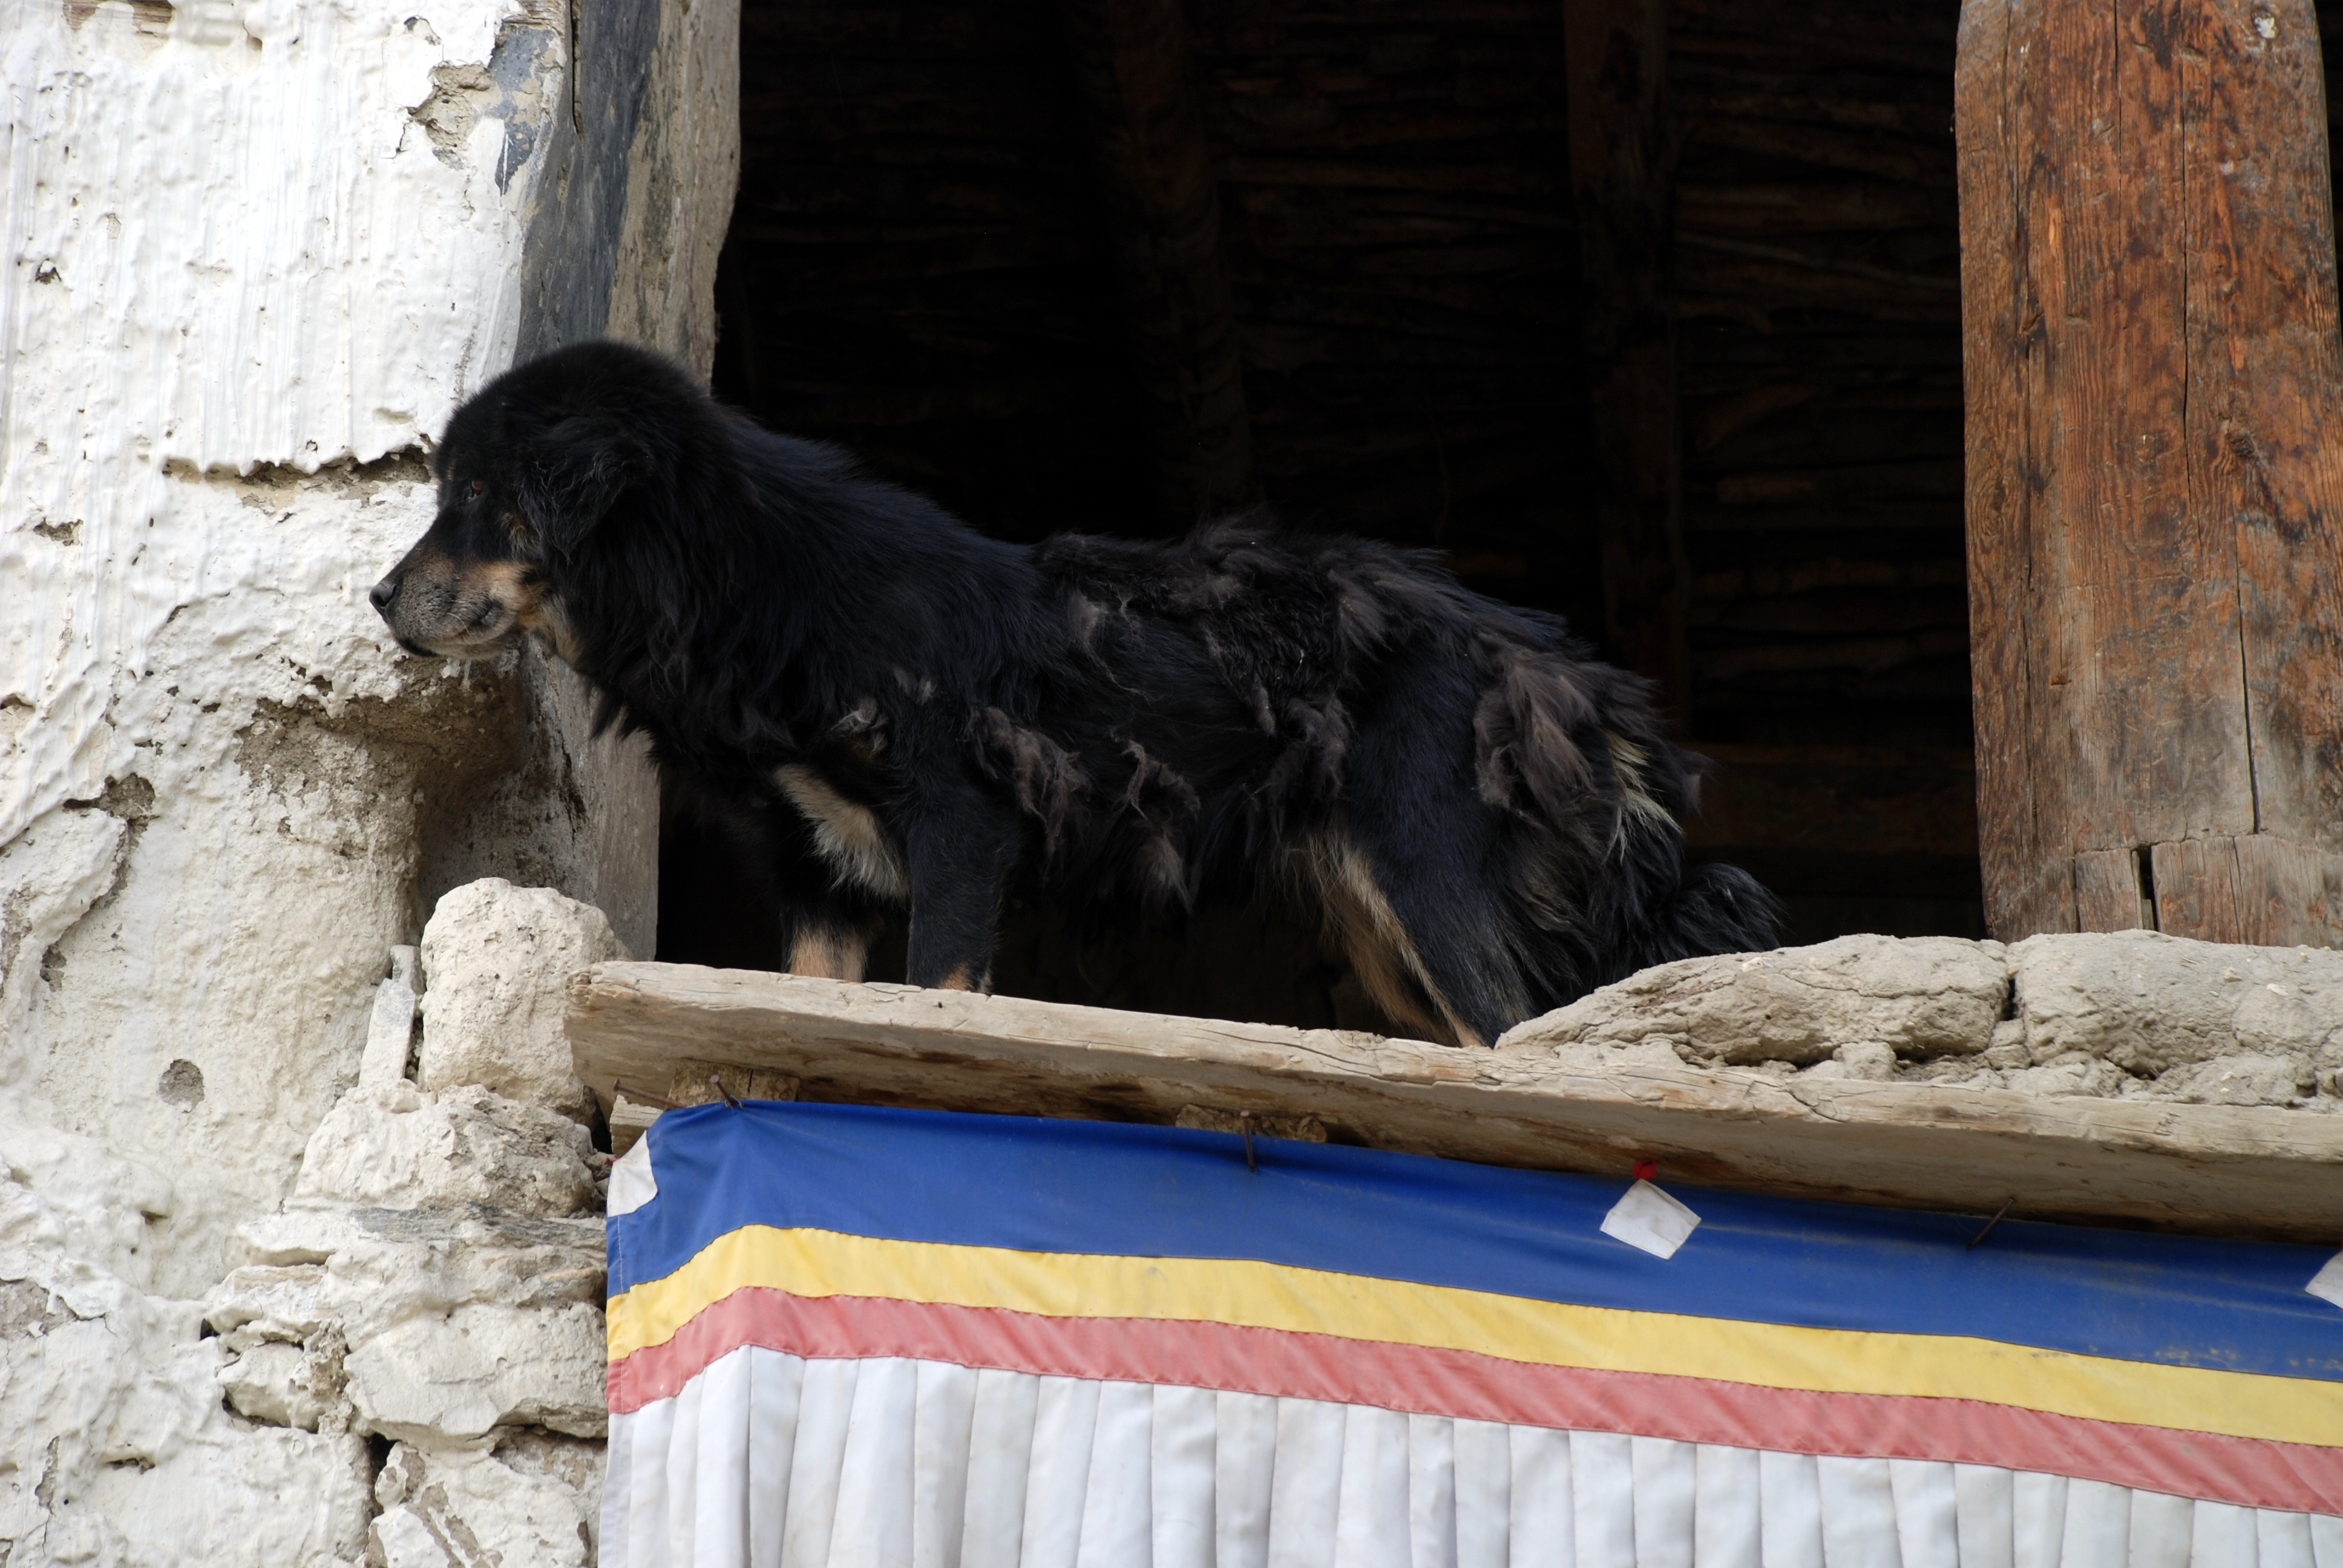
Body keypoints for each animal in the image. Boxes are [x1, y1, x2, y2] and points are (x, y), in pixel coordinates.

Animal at [370, 344, 1771, 1050]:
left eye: (482, 497)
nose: (380, 598)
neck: (741, 579)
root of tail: (1563, 664)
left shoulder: (960, 828)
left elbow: (939, 991)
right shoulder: (815, 871)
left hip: (1426, 879)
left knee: (1518, 1038)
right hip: (1384, 927)